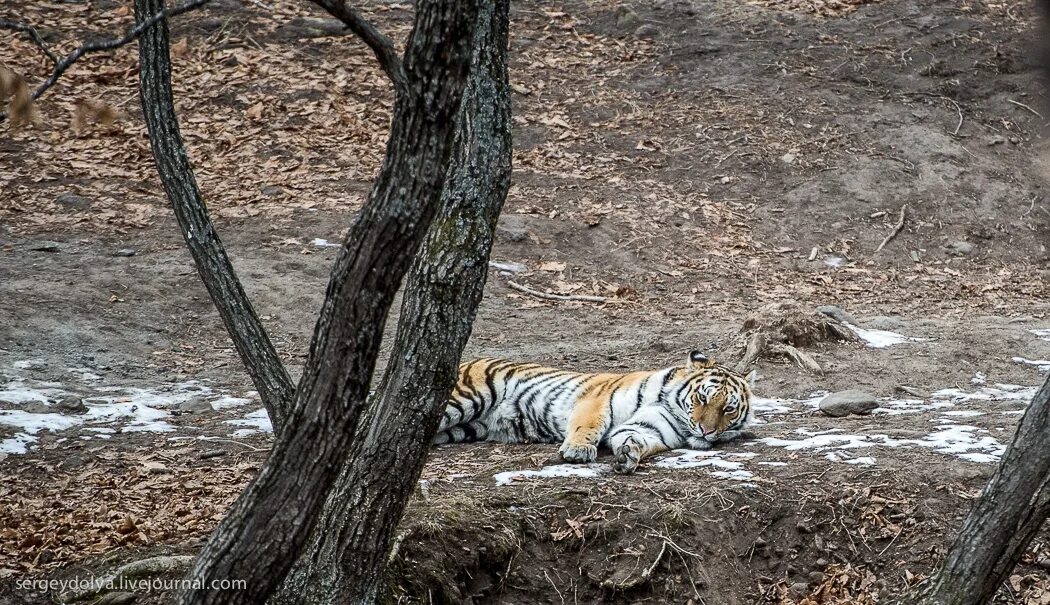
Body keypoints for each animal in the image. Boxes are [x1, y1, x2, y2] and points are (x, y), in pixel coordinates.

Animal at [434, 352, 755, 474]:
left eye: (727, 409)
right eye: (702, 398)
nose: (706, 431)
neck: (672, 407)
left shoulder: (650, 428)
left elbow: (637, 438)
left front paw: (628, 455)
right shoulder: (599, 399)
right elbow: (590, 425)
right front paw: (578, 451)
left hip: (465, 428)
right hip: (465, 399)